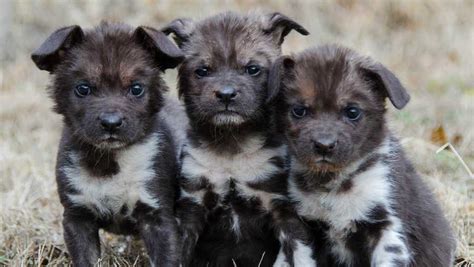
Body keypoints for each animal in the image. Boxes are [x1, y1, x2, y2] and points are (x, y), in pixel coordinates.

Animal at [31, 23, 183, 267]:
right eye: (83, 89)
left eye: (136, 89)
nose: (111, 123)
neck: (110, 160)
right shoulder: (77, 217)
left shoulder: (159, 217)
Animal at [162, 11, 312, 266]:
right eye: (202, 71)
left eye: (252, 69)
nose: (226, 95)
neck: (232, 149)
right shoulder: (191, 206)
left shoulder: (284, 209)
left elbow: (300, 256)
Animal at [268, 45, 458, 266]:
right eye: (299, 110)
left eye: (352, 112)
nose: (324, 145)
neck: (332, 185)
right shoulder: (298, 226)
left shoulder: (386, 227)